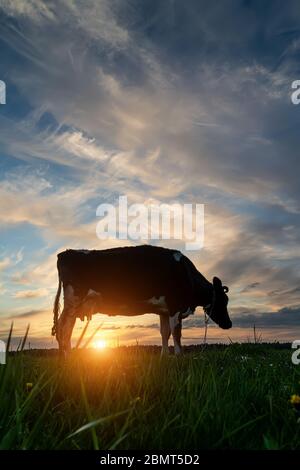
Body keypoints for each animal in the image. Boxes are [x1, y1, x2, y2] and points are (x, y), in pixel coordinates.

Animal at [51, 246, 231, 356]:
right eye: (223, 300)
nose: (229, 324)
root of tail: (65, 253)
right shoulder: (175, 306)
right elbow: (176, 333)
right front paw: (179, 356)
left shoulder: (164, 310)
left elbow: (164, 332)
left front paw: (165, 357)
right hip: (73, 301)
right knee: (63, 328)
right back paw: (67, 358)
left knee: (64, 328)